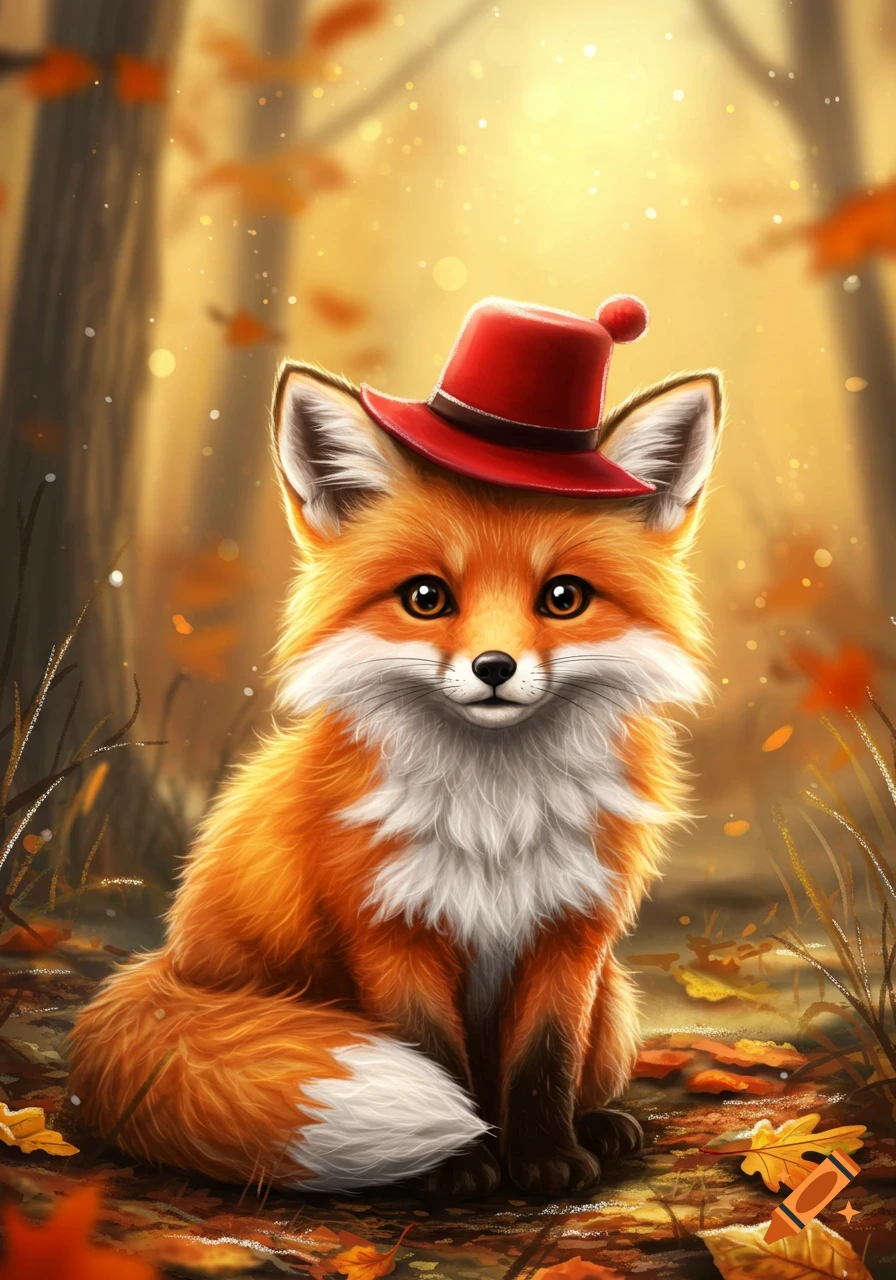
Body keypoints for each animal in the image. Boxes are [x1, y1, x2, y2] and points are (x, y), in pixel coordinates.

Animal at [69, 299, 722, 1197]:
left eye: (563, 597)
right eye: (425, 597)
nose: (493, 668)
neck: (495, 814)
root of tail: (164, 968)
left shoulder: (571, 932)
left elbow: (544, 1060)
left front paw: (545, 1157)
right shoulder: (389, 927)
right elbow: (433, 1055)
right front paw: (461, 1165)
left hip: (616, 1001)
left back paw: (601, 1123)